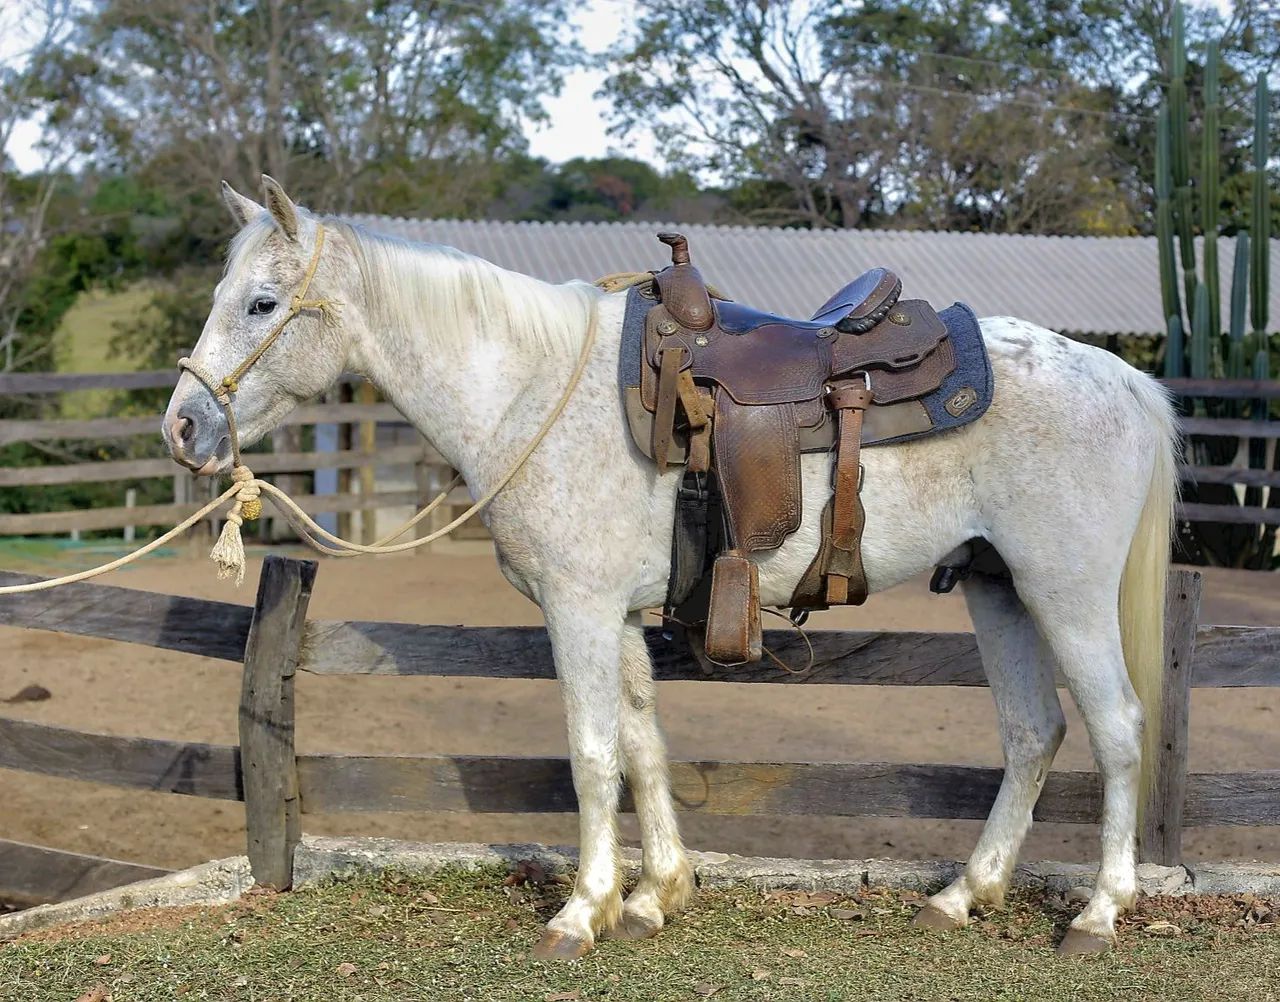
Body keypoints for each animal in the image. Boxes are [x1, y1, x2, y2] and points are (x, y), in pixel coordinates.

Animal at [163, 176, 1177, 959]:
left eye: (261, 303)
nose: (183, 426)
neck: (532, 389)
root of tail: (1125, 380)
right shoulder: (615, 613)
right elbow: (643, 744)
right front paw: (656, 896)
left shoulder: (576, 608)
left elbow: (591, 753)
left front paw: (582, 912)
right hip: (997, 589)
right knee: (1033, 732)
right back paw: (965, 894)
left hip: (1065, 593)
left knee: (1119, 729)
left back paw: (1098, 913)